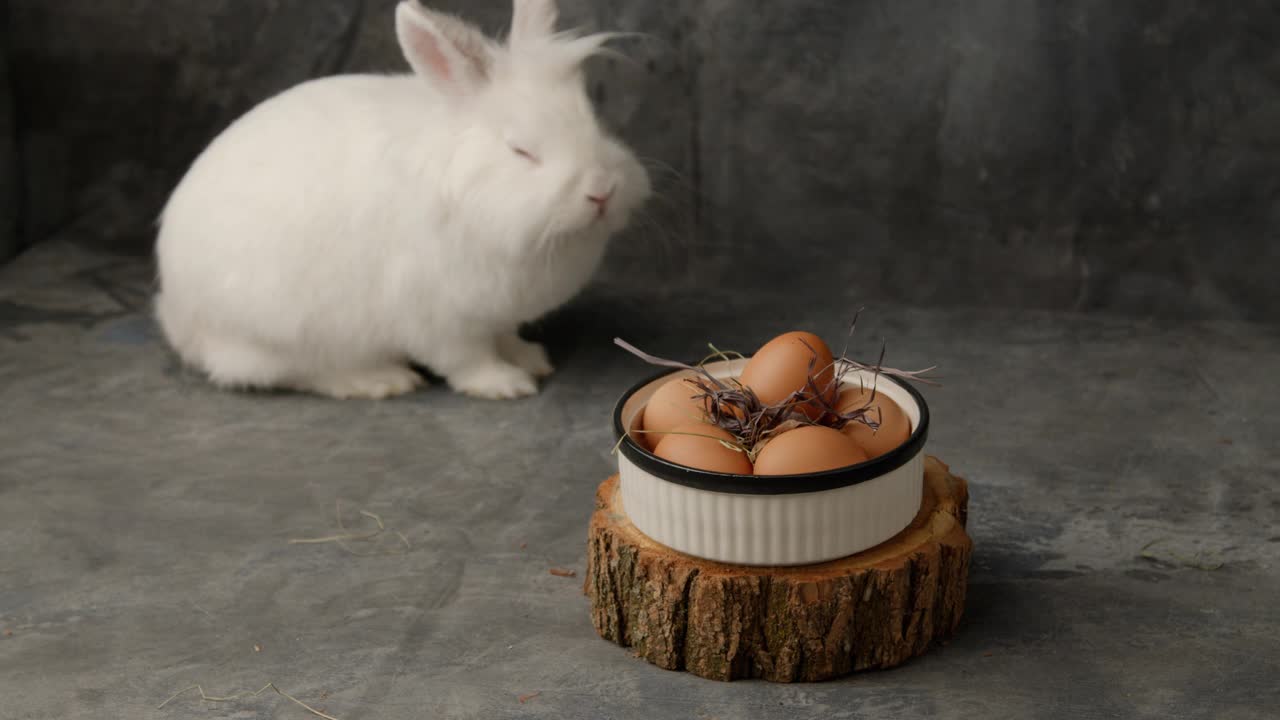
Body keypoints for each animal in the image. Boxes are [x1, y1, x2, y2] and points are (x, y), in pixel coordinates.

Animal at [151, 0, 650, 397]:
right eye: (521, 150)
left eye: (595, 122)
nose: (601, 191)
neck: (473, 199)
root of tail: (179, 318)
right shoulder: (439, 318)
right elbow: (466, 359)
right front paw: (505, 384)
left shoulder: (497, 312)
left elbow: (505, 336)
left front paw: (530, 358)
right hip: (283, 333)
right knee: (297, 372)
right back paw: (379, 380)